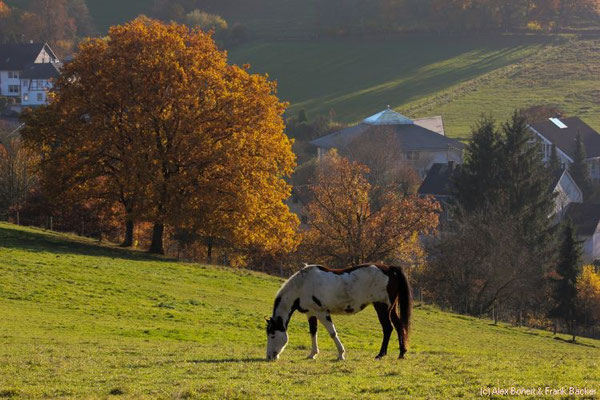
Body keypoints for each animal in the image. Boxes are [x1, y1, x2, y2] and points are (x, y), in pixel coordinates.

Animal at [268, 264, 412, 360]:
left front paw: (341, 354)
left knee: (388, 328)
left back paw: (381, 354)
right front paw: (312, 354)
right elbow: (313, 332)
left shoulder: (322, 313)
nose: (269, 357)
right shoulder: (311, 313)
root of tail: (390, 269)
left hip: (381, 308)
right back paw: (401, 353)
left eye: (272, 335)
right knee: (399, 326)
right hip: (391, 308)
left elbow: (332, 333)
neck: (302, 285)